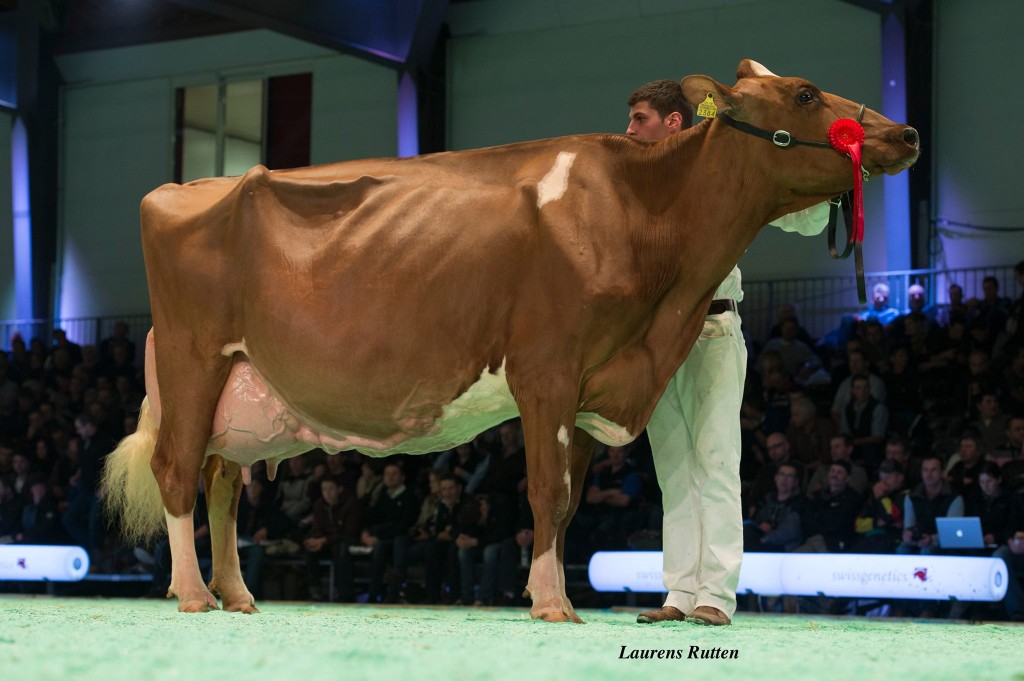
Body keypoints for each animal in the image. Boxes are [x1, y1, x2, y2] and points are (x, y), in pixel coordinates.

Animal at [105, 61, 921, 618]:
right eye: (808, 95)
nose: (905, 132)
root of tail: (184, 186)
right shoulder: (547, 369)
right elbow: (545, 490)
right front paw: (554, 605)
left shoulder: (591, 387)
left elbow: (567, 503)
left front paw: (551, 595)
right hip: (191, 357)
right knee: (178, 470)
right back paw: (190, 593)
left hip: (239, 385)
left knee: (223, 482)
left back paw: (237, 594)